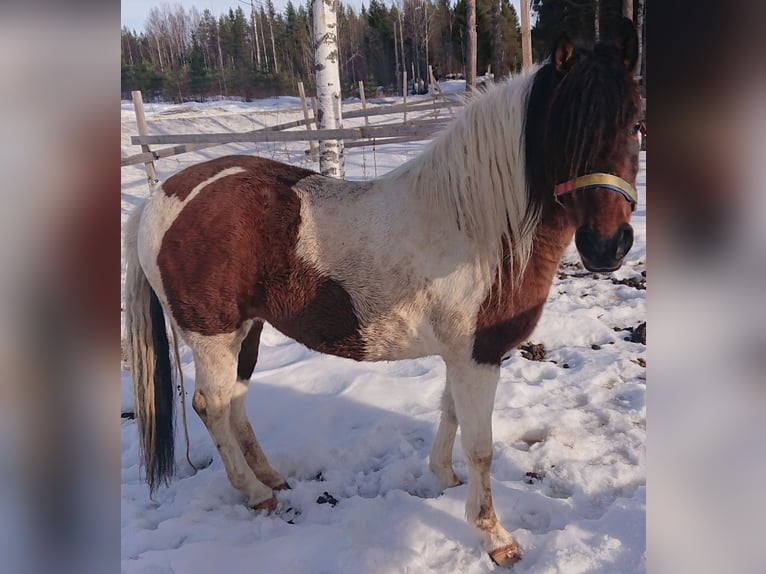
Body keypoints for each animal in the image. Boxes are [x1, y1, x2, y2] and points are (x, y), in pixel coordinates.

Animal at [124, 19, 641, 567]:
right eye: (567, 132)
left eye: (634, 124)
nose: (607, 245)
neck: (476, 225)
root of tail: (159, 197)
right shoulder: (477, 355)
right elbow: (481, 447)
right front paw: (495, 538)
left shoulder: (463, 355)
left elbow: (449, 413)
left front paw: (443, 477)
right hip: (214, 336)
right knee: (211, 406)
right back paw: (256, 492)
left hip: (249, 330)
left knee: (236, 402)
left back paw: (271, 478)